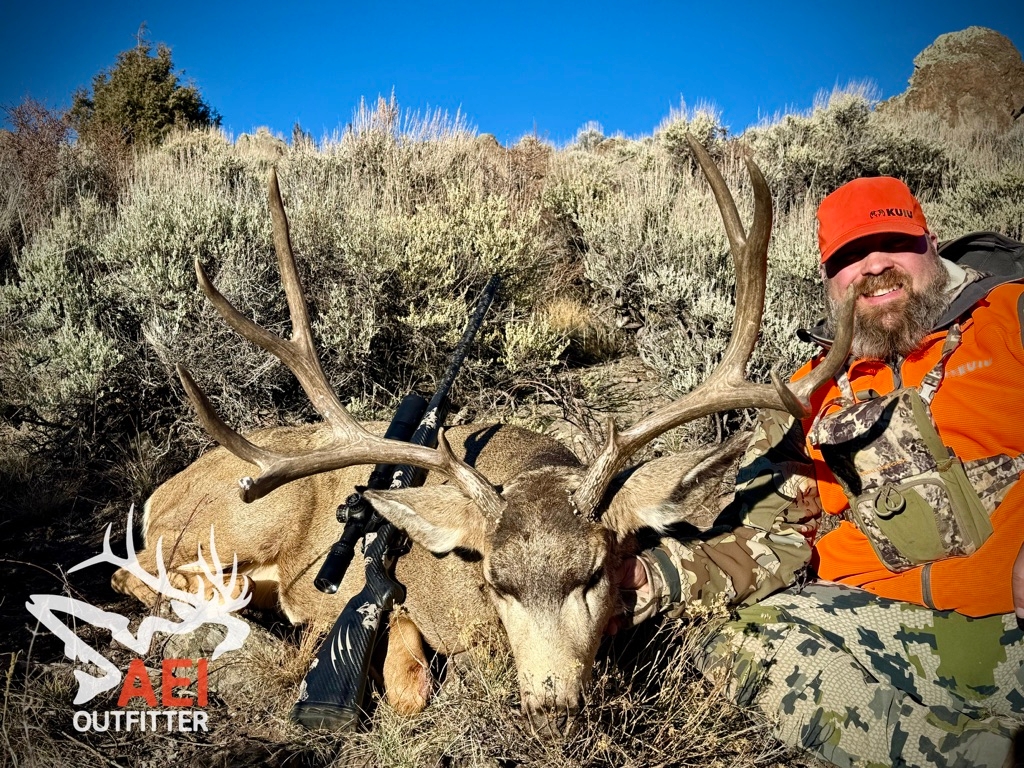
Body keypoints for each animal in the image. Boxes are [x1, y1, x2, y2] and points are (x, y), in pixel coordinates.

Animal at [112, 135, 854, 737]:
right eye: (498, 582)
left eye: (596, 572)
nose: (552, 704)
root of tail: (158, 494)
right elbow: (408, 679)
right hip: (249, 517)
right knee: (138, 572)